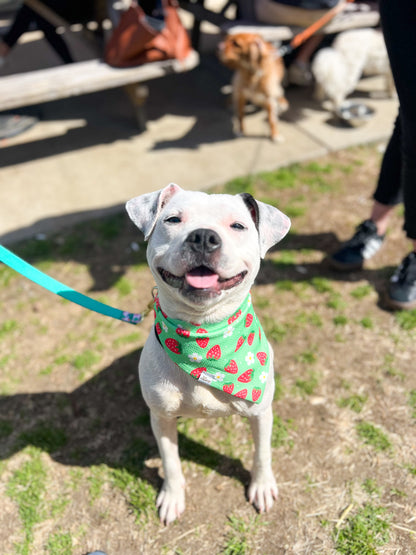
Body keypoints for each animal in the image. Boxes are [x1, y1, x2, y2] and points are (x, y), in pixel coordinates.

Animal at [125, 184, 290, 524]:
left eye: (238, 226)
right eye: (173, 220)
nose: (203, 236)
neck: (203, 341)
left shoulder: (260, 413)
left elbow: (262, 453)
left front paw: (261, 486)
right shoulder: (161, 417)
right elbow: (170, 460)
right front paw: (172, 496)